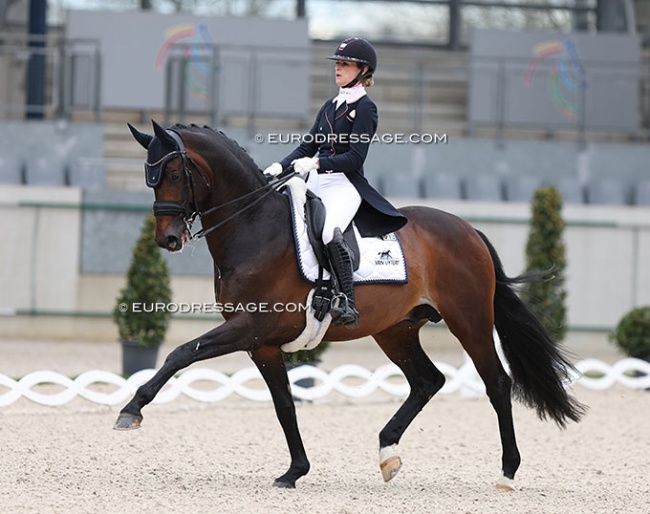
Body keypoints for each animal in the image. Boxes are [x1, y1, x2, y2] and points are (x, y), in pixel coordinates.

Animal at [114, 120, 584, 488]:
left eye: (175, 172)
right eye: (149, 176)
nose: (167, 239)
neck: (254, 228)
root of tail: (468, 230)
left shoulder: (249, 327)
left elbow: (180, 353)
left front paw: (131, 410)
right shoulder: (261, 344)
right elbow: (285, 405)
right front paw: (295, 471)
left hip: (468, 320)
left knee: (497, 383)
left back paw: (507, 471)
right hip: (396, 330)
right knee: (427, 381)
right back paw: (387, 452)